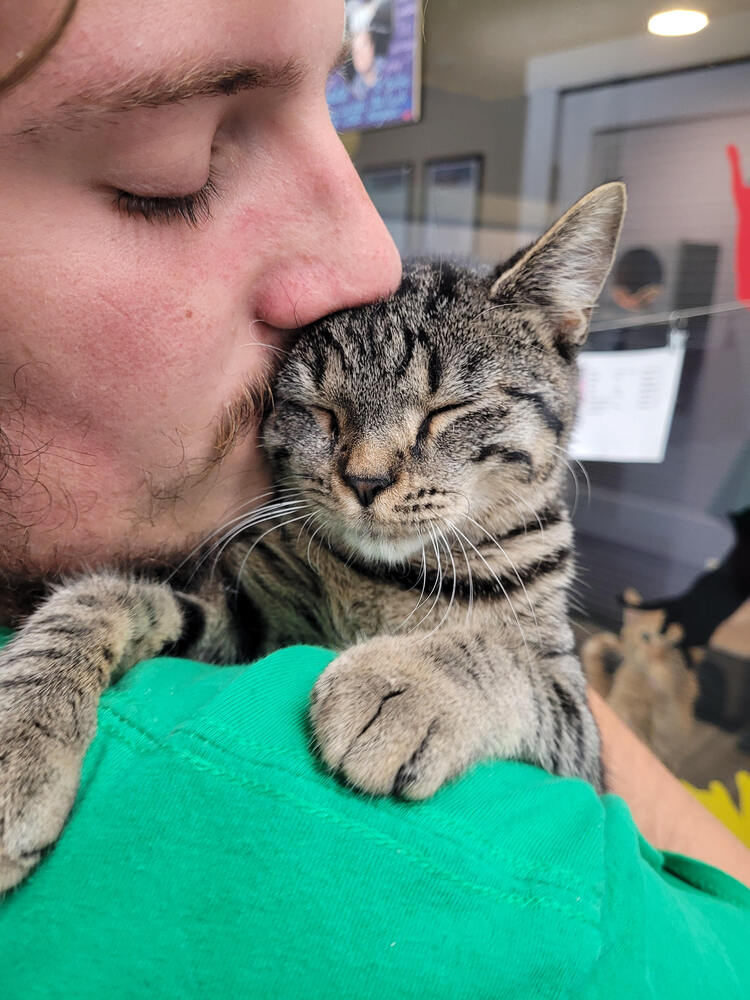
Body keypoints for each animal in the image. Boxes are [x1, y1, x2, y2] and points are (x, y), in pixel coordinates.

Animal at [0, 182, 628, 892]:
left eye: (447, 411)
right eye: (319, 410)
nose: (365, 479)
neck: (385, 579)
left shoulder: (575, 719)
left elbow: (510, 663)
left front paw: (402, 682)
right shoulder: (245, 624)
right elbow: (99, 598)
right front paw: (21, 736)